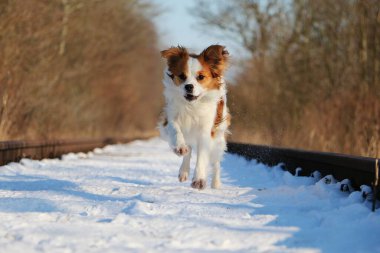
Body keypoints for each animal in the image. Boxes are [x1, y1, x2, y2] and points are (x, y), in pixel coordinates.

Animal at [158, 45, 230, 190]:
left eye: (201, 77)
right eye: (182, 76)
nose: (189, 86)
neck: (191, 105)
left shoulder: (205, 130)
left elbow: (202, 155)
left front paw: (199, 179)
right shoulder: (170, 118)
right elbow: (175, 130)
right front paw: (180, 147)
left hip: (218, 138)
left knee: (216, 162)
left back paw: (216, 183)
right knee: (189, 148)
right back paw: (184, 170)